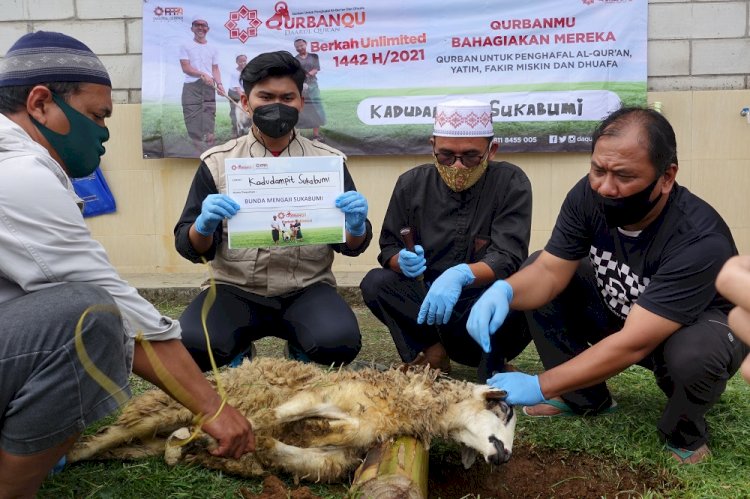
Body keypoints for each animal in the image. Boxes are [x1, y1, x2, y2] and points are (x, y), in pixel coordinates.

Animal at [69, 358, 516, 482]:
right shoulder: (320, 394)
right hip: (164, 406)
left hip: (143, 441)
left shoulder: (341, 456)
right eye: (505, 410)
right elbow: (272, 416)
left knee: (125, 448)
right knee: (105, 436)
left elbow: (306, 453)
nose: (505, 457)